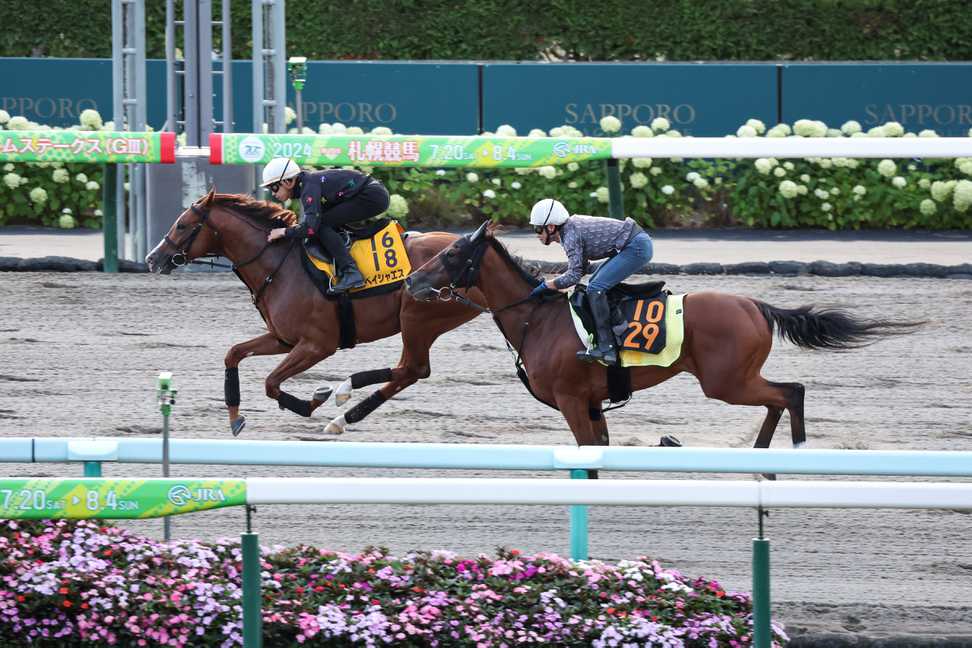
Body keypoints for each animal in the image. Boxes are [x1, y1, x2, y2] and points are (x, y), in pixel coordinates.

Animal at [145, 190, 482, 438]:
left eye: (182, 225)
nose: (151, 259)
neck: (280, 265)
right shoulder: (283, 339)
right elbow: (234, 354)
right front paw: (235, 418)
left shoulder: (317, 345)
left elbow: (270, 383)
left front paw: (312, 401)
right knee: (409, 371)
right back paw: (343, 416)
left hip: (417, 319)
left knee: (413, 369)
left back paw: (344, 397)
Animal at [406, 223, 924, 450]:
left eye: (451, 254)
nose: (411, 281)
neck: (538, 319)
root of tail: (755, 305)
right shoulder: (591, 403)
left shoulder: (572, 400)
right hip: (734, 380)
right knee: (780, 397)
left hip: (725, 382)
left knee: (789, 392)